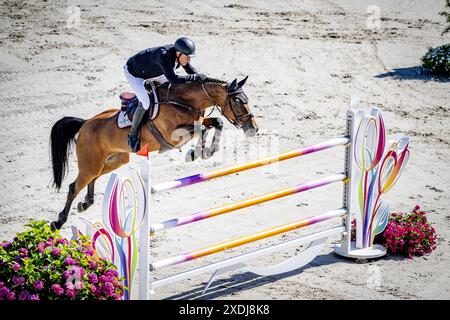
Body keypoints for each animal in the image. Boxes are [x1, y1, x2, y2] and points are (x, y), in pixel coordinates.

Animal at [48, 76, 256, 229]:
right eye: (238, 101)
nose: (253, 128)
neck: (184, 101)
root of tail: (84, 123)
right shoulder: (172, 135)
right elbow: (201, 129)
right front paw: (196, 152)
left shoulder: (198, 120)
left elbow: (216, 123)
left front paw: (207, 151)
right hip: (91, 163)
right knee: (74, 186)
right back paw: (59, 221)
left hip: (114, 160)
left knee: (93, 178)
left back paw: (86, 203)